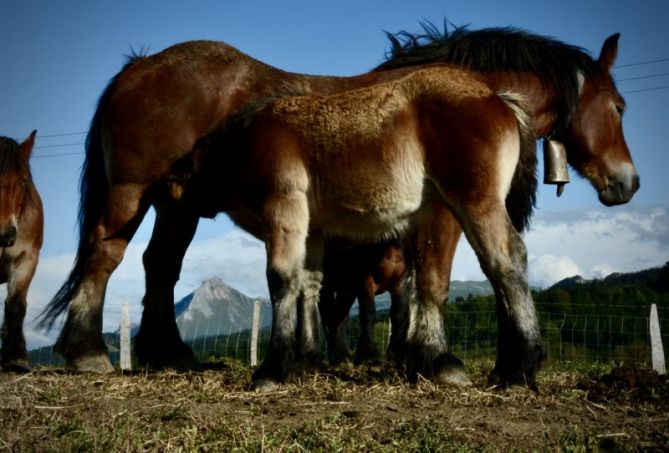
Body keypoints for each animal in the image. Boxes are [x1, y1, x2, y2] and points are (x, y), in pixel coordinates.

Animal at [172, 67, 536, 388]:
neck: (243, 143)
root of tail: (496, 98)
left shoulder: (283, 209)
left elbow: (282, 280)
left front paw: (273, 369)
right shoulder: (312, 232)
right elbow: (310, 286)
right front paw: (307, 360)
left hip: (476, 203)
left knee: (506, 260)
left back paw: (521, 368)